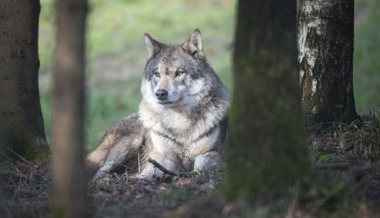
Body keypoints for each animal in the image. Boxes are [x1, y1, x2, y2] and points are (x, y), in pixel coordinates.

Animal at [87, 28, 229, 179]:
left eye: (179, 73)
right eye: (157, 74)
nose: (160, 93)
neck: (179, 124)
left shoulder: (215, 153)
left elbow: (201, 162)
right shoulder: (162, 156)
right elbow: (151, 170)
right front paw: (142, 177)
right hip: (129, 144)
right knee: (98, 173)